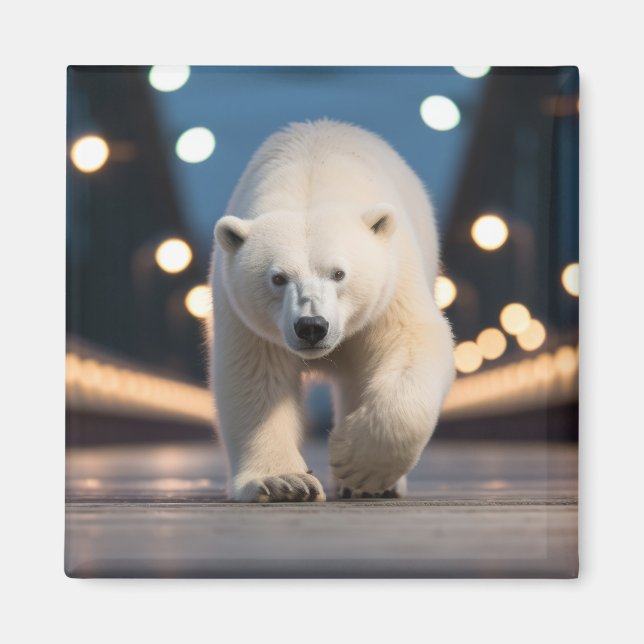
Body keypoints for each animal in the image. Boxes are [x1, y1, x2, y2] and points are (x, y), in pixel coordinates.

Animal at [209, 119, 455, 502]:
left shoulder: (391, 285)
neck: (310, 178)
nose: (312, 326)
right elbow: (255, 375)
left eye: (339, 273)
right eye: (278, 278)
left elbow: (412, 344)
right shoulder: (243, 313)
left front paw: (358, 466)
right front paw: (284, 482)